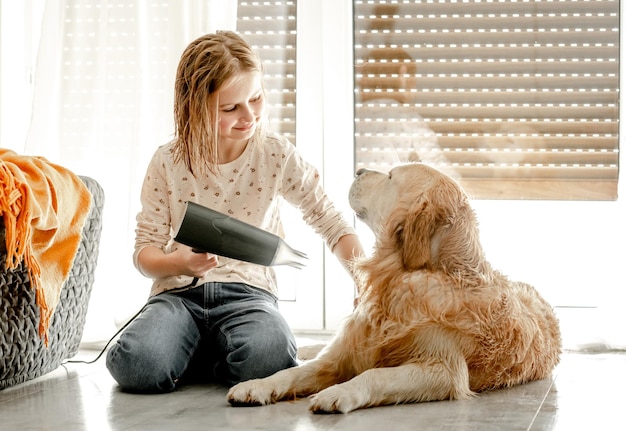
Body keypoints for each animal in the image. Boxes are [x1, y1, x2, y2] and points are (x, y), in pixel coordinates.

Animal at [225, 163, 560, 416]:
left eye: (389, 177)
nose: (358, 169)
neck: (396, 278)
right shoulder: (340, 355)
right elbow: (293, 372)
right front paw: (256, 385)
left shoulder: (443, 369)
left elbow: (375, 373)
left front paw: (338, 392)